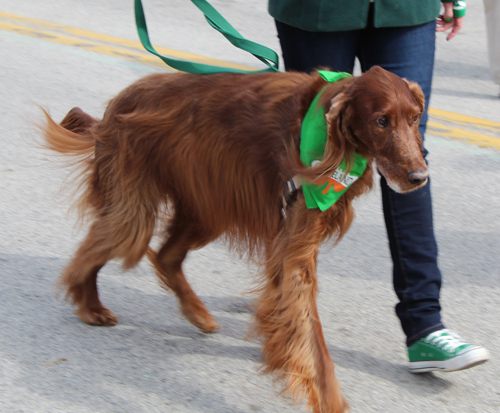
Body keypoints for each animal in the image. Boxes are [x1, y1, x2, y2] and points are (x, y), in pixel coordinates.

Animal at [41, 66, 428, 410]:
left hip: (206, 207)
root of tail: (118, 102)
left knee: (165, 255)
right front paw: (329, 397)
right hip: (136, 207)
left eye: (414, 118)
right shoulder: (295, 247)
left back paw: (197, 314)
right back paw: (90, 306)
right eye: (381, 121)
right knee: (93, 251)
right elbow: (311, 335)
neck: (334, 139)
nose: (419, 177)